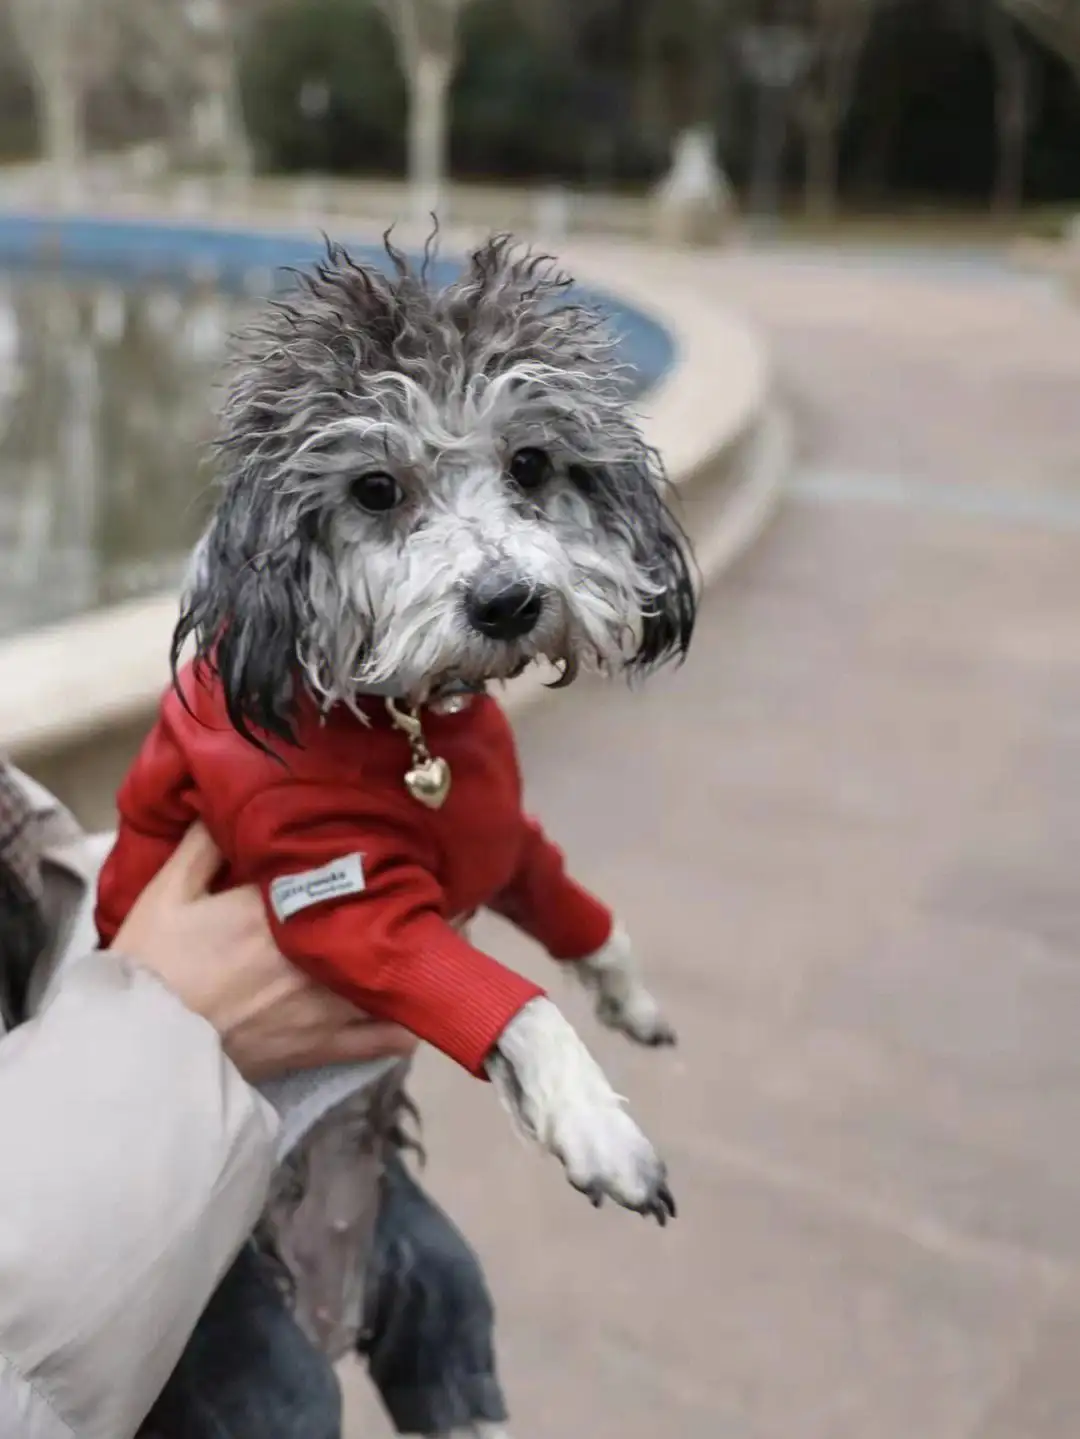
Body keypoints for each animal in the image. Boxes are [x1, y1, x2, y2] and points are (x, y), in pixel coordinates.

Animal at [94, 230, 701, 1231]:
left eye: (530, 463)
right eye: (376, 488)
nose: (508, 601)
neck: (414, 725)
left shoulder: (503, 833)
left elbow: (578, 911)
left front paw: (630, 997)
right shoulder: (342, 902)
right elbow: (515, 1006)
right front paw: (597, 1127)